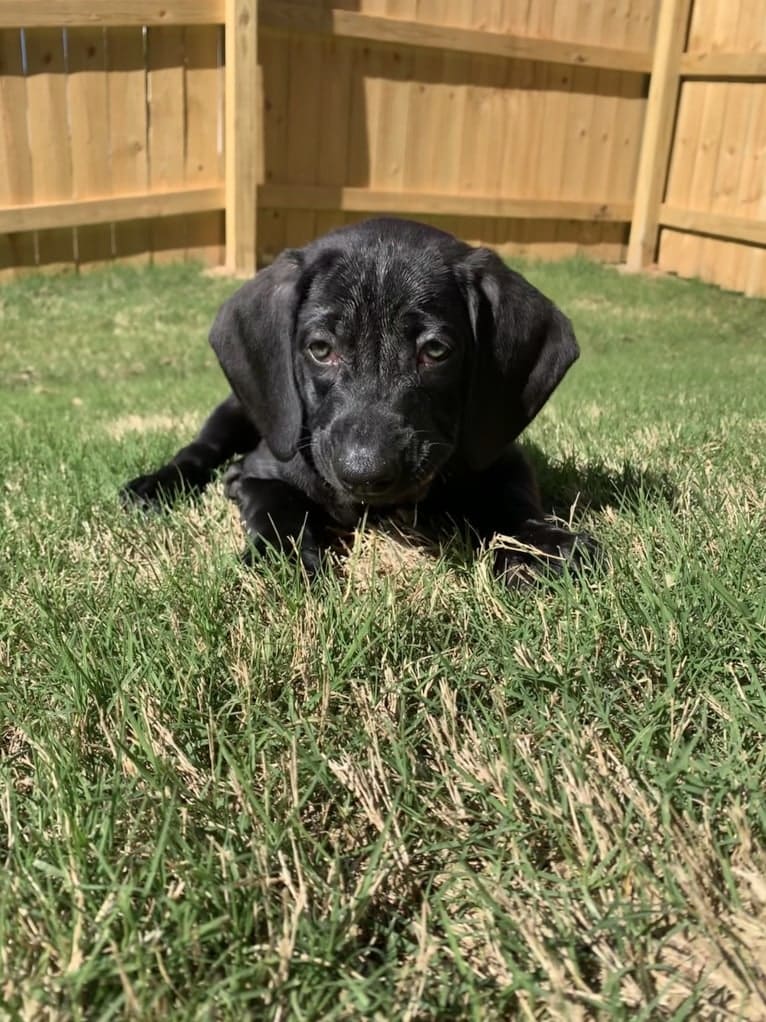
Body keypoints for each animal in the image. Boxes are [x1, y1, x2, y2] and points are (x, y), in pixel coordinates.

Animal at [123, 217, 596, 584]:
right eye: (320, 348)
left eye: (436, 351)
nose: (365, 473)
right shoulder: (257, 472)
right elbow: (280, 510)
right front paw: (287, 559)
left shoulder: (499, 455)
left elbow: (512, 499)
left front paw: (538, 545)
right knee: (200, 448)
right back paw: (154, 485)